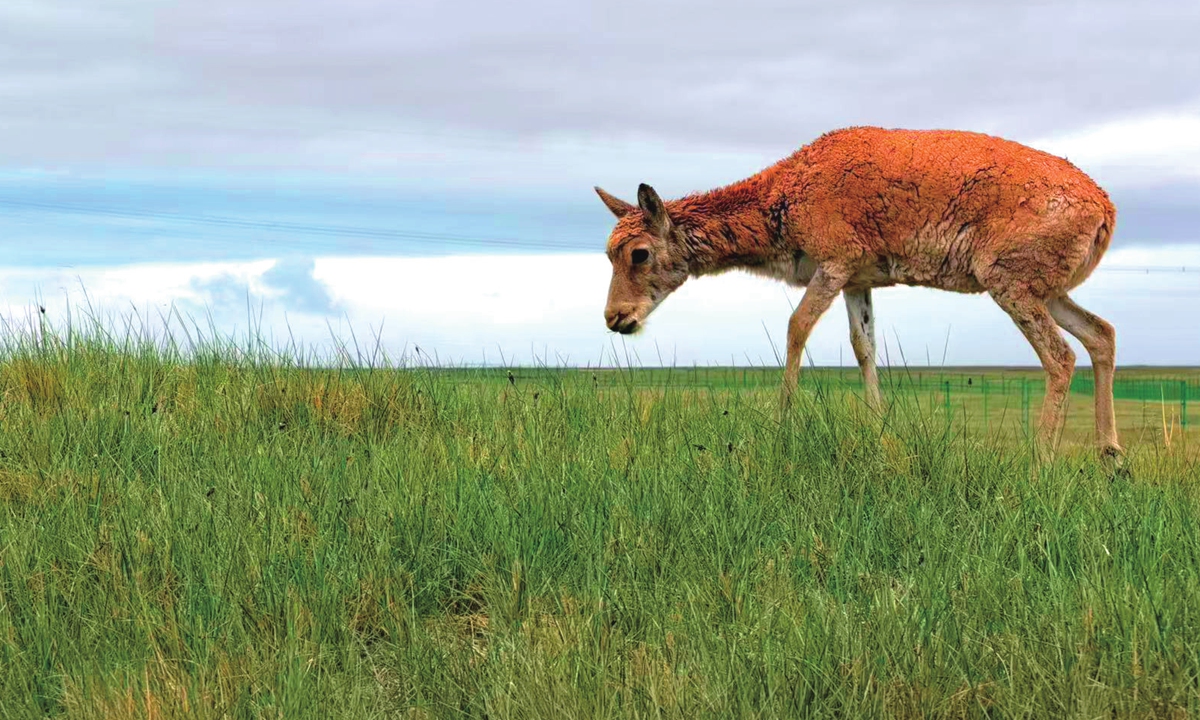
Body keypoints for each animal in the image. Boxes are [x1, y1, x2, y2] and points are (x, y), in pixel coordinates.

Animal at [596, 126, 1121, 460]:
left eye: (638, 253)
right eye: (607, 252)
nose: (614, 317)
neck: (784, 194)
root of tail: (1106, 207)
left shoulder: (834, 265)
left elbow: (797, 327)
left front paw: (783, 422)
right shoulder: (858, 282)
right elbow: (864, 346)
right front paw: (877, 425)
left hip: (1013, 286)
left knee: (1061, 356)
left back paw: (1041, 463)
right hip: (1047, 292)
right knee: (1102, 335)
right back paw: (1111, 457)